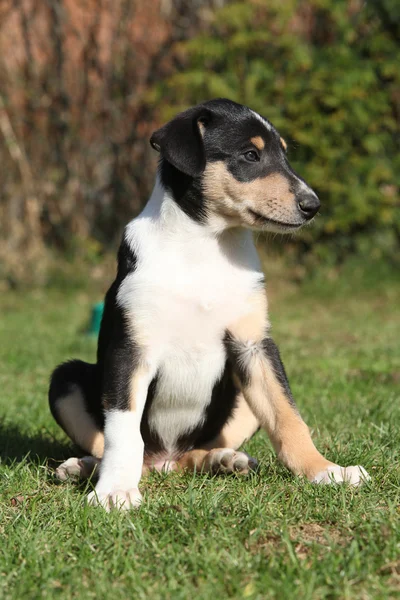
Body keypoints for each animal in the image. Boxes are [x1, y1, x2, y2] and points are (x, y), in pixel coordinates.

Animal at [48, 99, 370, 510]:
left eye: (284, 154)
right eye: (250, 155)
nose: (312, 205)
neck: (204, 245)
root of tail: (165, 460)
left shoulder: (254, 345)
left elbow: (288, 416)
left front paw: (327, 471)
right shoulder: (131, 349)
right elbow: (123, 428)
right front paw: (115, 491)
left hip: (239, 394)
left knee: (195, 455)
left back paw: (224, 460)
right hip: (66, 378)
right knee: (118, 446)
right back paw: (85, 468)